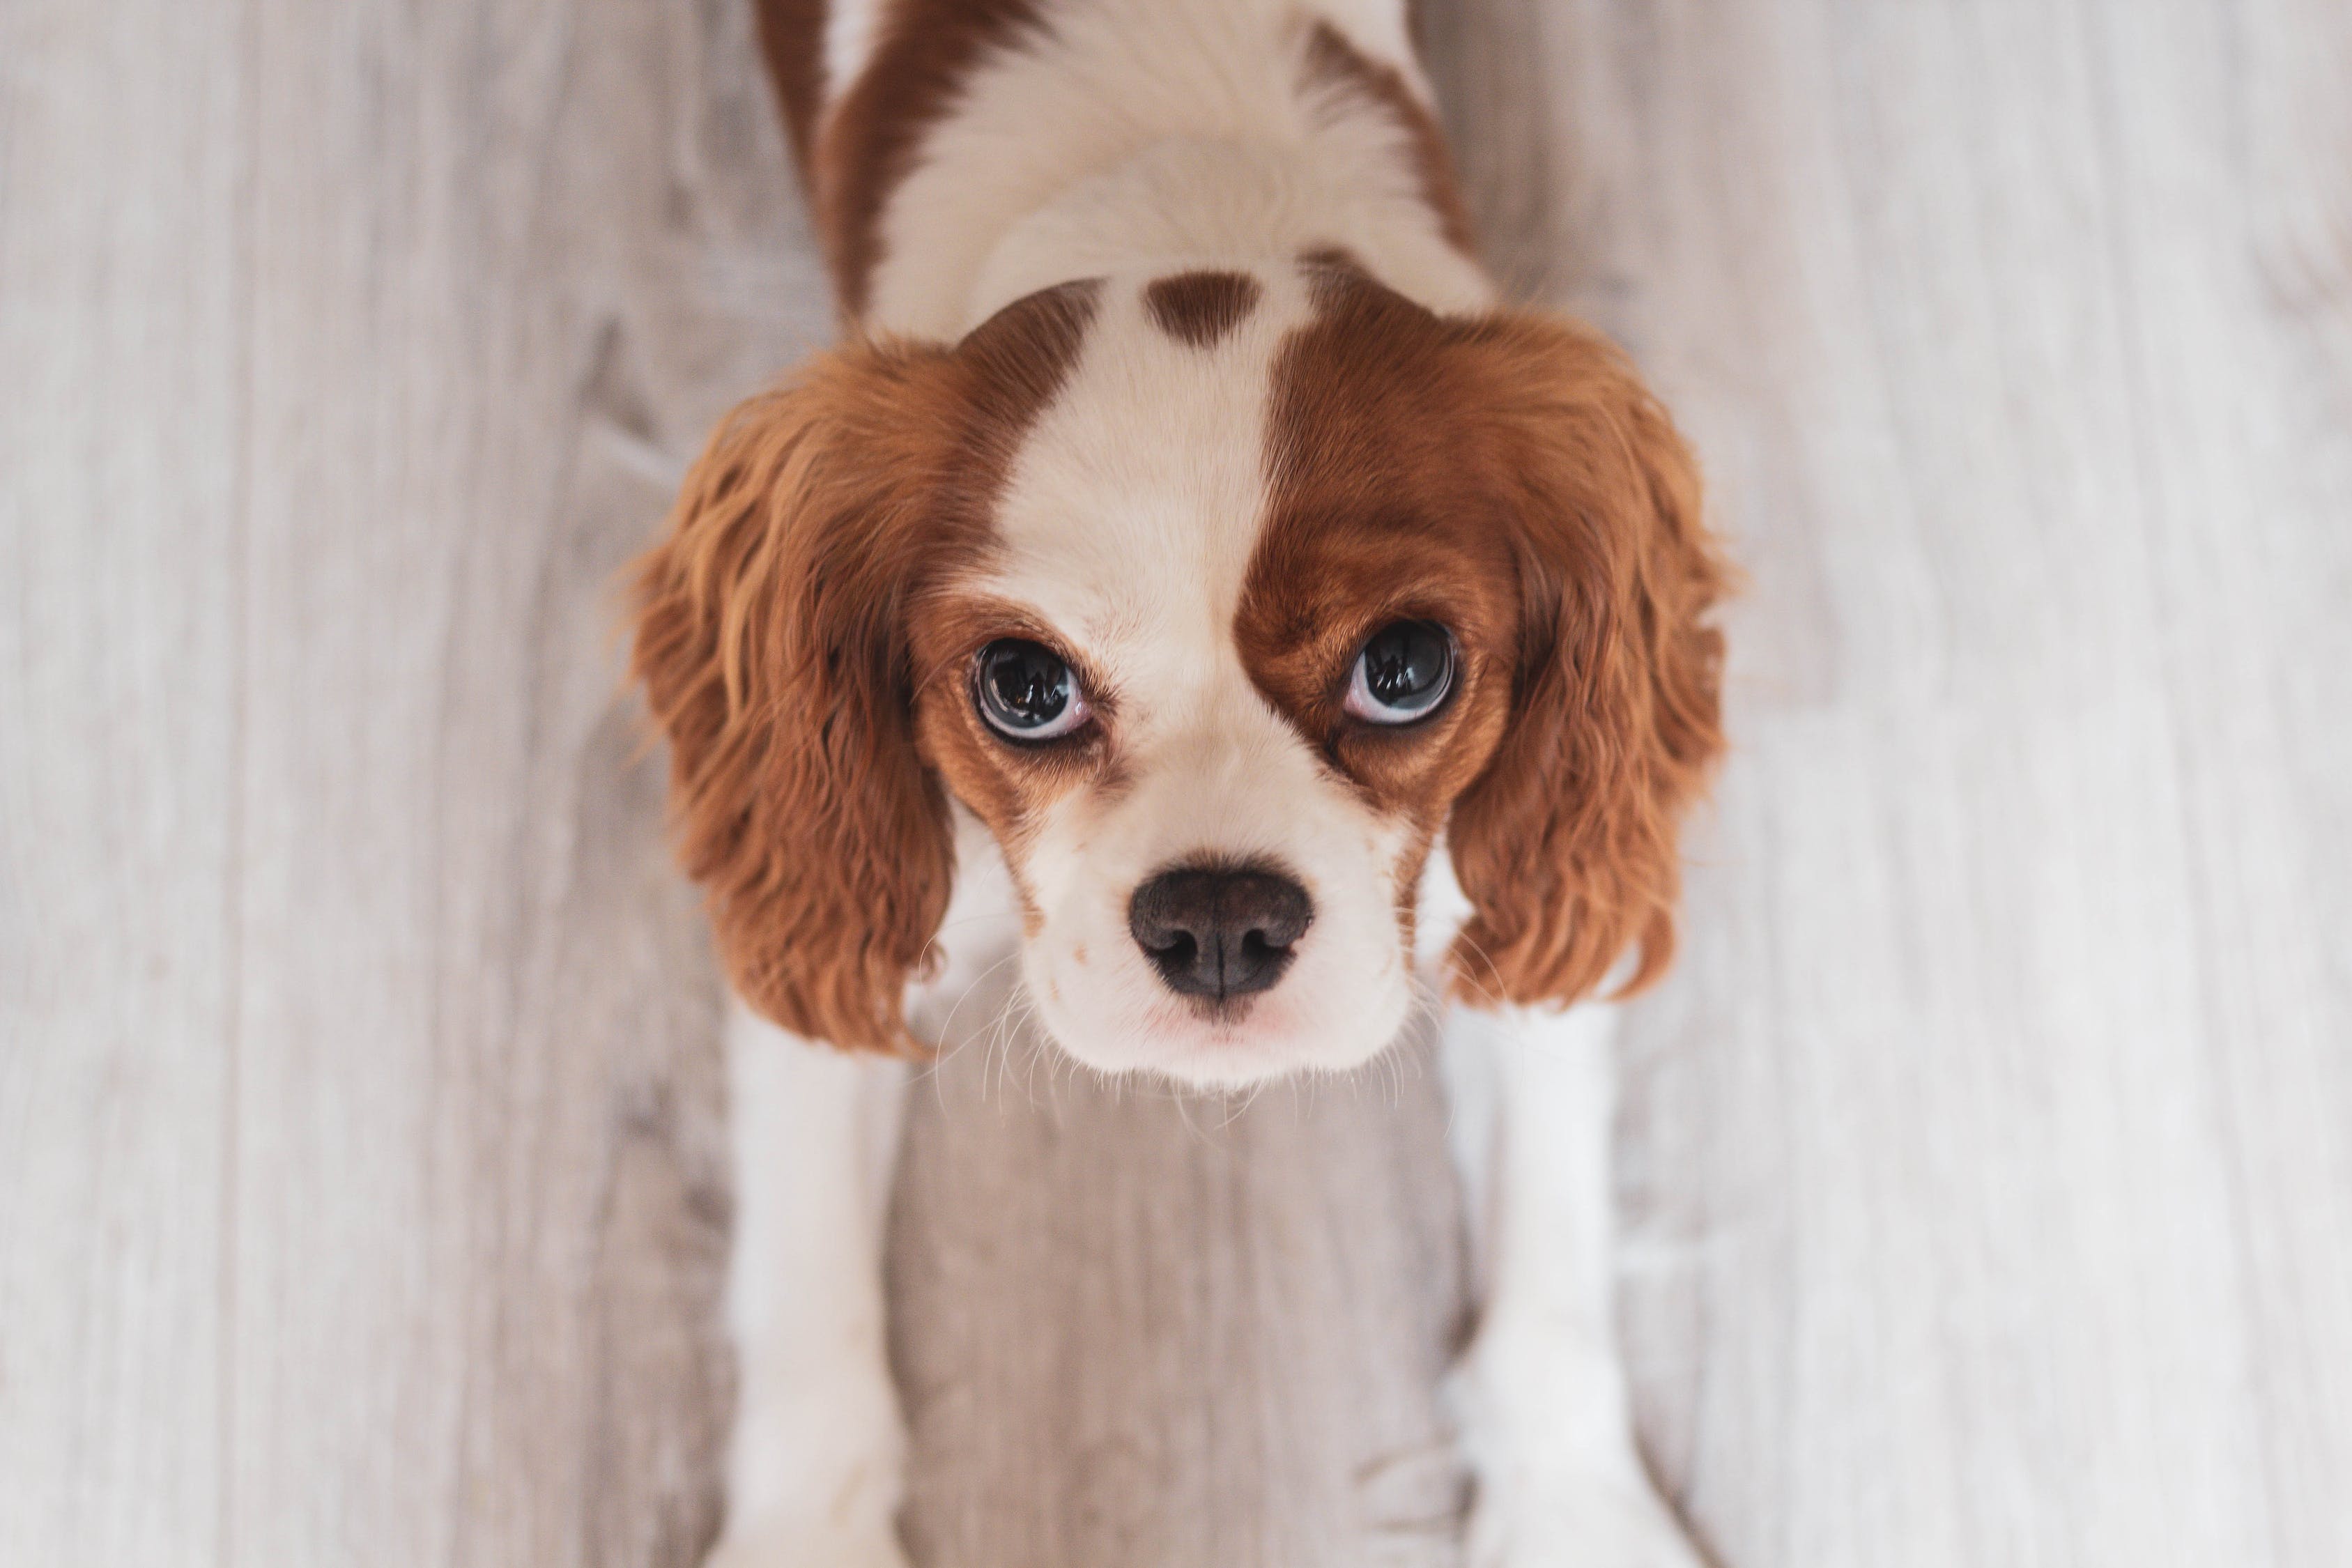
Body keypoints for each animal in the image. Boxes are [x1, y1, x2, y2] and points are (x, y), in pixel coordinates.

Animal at [630, 6, 1731, 1560]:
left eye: (1405, 667)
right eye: (1022, 686)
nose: (1217, 919)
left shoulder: (1503, 887)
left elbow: (1552, 1254)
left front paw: (1574, 1509)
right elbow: (809, 1299)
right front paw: (806, 1532)